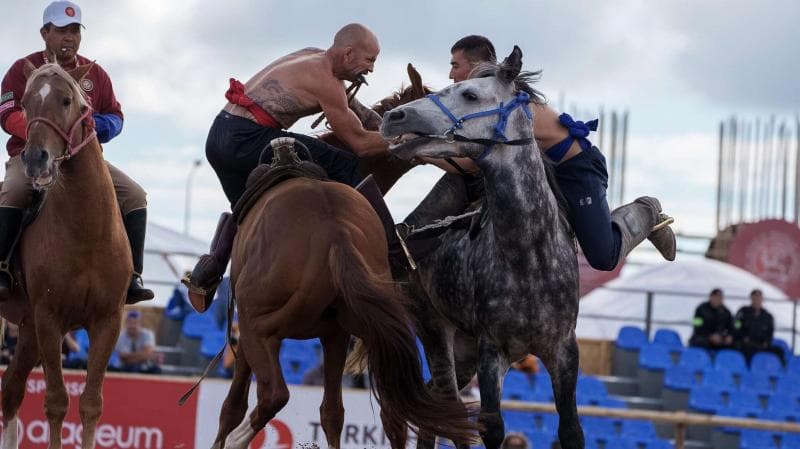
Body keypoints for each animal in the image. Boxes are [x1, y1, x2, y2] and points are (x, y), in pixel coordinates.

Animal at [0, 64, 130, 448]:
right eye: (25, 103)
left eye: (67, 100)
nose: (34, 159)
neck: (86, 230)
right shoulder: (49, 320)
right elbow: (57, 401)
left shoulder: (107, 321)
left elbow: (91, 403)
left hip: (26, 330)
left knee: (11, 390)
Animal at [211, 137, 476, 448]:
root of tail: (336, 234)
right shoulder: (335, 336)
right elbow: (332, 413)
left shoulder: (251, 329)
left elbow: (233, 405)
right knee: (383, 411)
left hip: (260, 328)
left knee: (273, 395)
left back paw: (235, 440)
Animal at [378, 44, 584, 448]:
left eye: (471, 95)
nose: (394, 117)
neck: (528, 256)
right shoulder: (493, 352)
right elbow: (491, 427)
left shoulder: (564, 352)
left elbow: (571, 430)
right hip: (436, 332)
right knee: (446, 405)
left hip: (463, 348)